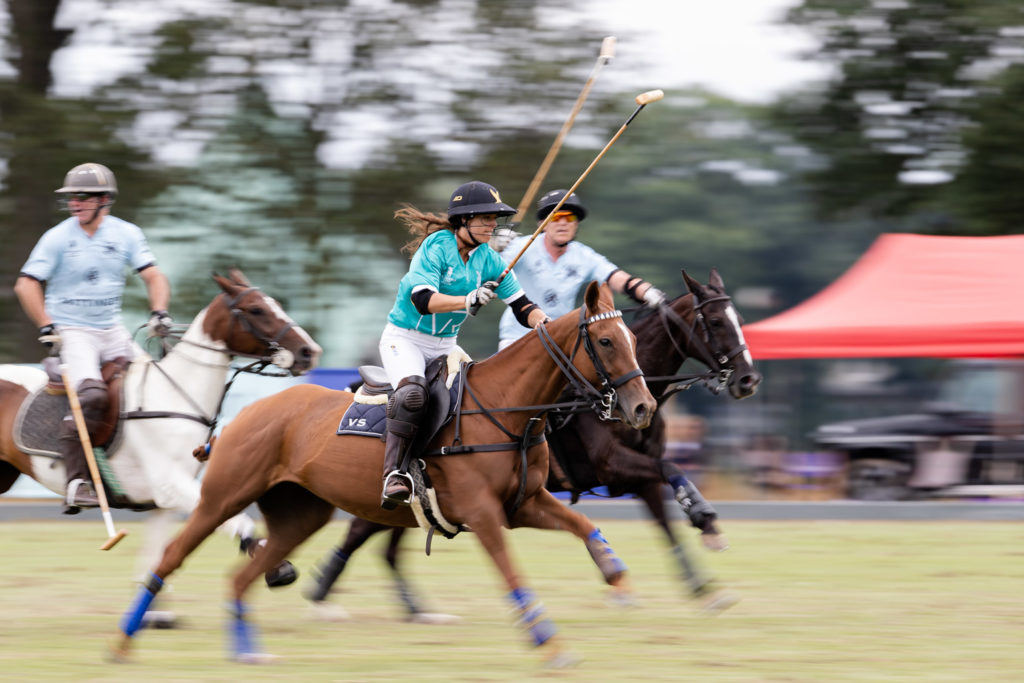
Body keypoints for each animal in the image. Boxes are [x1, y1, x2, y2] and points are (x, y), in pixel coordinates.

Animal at [0, 272, 321, 618]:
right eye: (256, 309)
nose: (309, 351)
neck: (176, 395)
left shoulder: (162, 503)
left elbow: (155, 561)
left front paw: (154, 615)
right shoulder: (171, 485)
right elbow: (236, 520)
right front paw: (277, 568)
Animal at [114, 280, 655, 663]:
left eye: (632, 337)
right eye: (605, 340)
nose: (644, 407)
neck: (507, 409)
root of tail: (244, 412)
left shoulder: (524, 504)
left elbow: (584, 526)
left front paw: (620, 582)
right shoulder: (482, 512)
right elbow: (511, 572)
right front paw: (552, 646)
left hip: (300, 515)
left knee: (241, 577)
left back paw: (248, 652)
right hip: (220, 498)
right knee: (170, 559)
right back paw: (124, 641)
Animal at [303, 270, 761, 618]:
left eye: (631, 339)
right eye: (716, 322)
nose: (748, 380)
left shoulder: (637, 476)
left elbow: (666, 520)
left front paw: (704, 581)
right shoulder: (612, 464)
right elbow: (673, 471)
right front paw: (705, 518)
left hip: (421, 502)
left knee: (389, 545)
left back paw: (412, 609)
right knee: (362, 531)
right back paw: (323, 595)